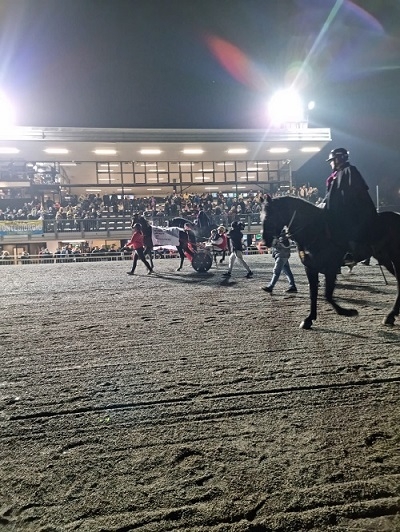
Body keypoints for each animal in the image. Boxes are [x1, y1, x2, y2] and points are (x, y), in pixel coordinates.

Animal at [262, 195, 400, 328]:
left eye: (270, 216)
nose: (265, 241)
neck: (314, 232)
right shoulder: (310, 268)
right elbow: (313, 294)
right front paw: (309, 319)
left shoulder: (331, 268)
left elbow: (327, 295)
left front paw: (347, 311)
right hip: (385, 259)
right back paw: (391, 315)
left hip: (395, 258)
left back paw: (391, 315)